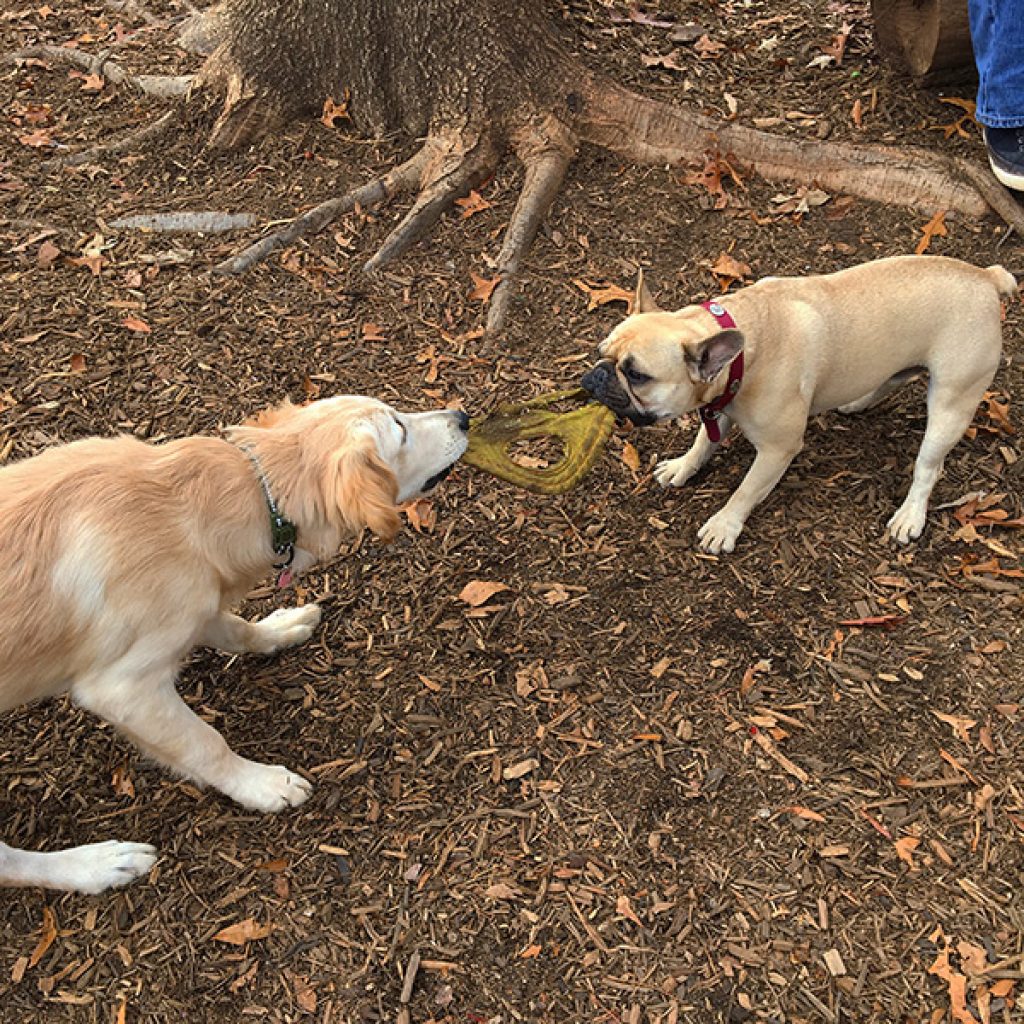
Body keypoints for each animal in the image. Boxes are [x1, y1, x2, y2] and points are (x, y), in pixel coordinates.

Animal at [0, 395, 468, 892]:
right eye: (400, 429)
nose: (463, 416)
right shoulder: (124, 689)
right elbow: (206, 744)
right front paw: (262, 785)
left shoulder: (199, 607)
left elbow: (239, 629)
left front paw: (281, 627)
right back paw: (99, 864)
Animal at [585, 256, 1015, 557]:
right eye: (601, 351)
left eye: (637, 374)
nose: (596, 375)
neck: (745, 351)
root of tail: (987, 277)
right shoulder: (719, 406)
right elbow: (703, 442)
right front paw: (682, 467)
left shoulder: (778, 450)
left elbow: (746, 490)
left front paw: (724, 525)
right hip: (900, 365)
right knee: (894, 379)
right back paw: (857, 402)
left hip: (951, 404)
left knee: (929, 466)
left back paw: (910, 515)